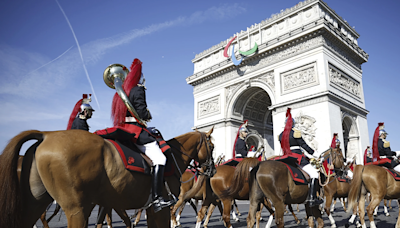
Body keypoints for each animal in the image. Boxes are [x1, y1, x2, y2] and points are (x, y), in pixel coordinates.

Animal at [0, 128, 216, 228]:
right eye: (212, 146)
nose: (212, 170)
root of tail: (46, 134)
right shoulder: (161, 208)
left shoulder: (145, 208)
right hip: (77, 209)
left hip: (35, 204)